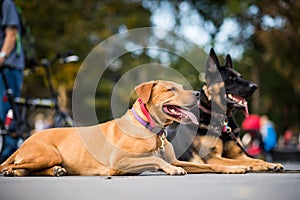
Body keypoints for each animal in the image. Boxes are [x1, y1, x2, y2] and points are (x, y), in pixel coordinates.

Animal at [0, 80, 250, 176]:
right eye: (170, 89)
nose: (198, 93)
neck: (153, 130)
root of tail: (28, 139)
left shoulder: (177, 158)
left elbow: (212, 165)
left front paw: (235, 168)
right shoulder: (119, 162)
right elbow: (155, 159)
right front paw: (171, 170)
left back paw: (57, 171)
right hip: (46, 153)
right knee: (15, 166)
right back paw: (9, 171)